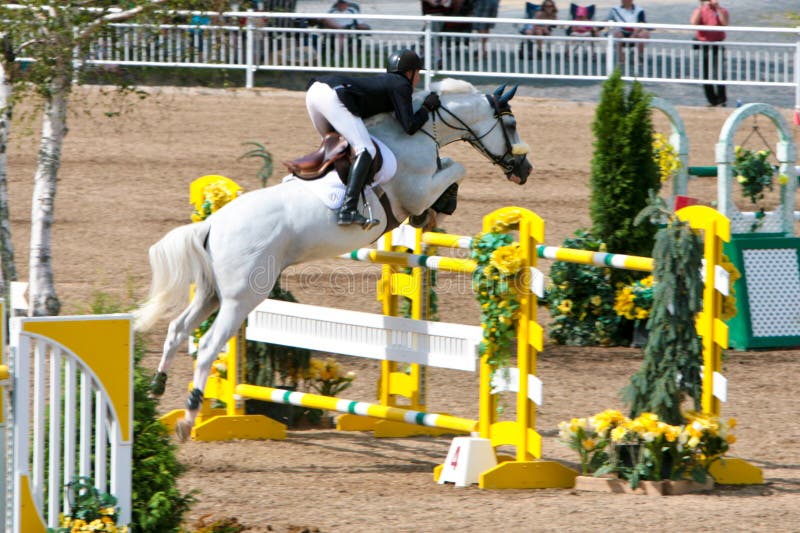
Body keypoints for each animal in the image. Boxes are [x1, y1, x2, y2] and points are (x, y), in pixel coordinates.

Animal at [134, 78, 533, 440]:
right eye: (511, 124)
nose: (524, 170)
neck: (418, 131)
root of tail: (213, 222)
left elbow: (449, 166)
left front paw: (437, 211)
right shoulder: (417, 190)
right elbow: (455, 167)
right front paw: (440, 207)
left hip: (211, 292)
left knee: (177, 330)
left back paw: (156, 387)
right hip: (240, 298)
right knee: (206, 349)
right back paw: (188, 417)